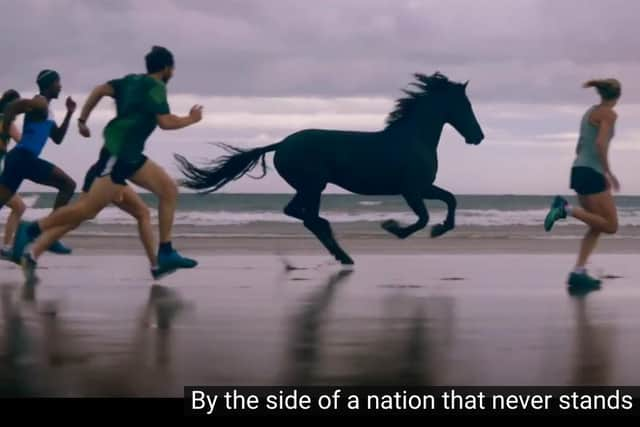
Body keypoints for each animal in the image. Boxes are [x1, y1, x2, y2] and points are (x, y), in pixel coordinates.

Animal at [175, 72, 484, 266]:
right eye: (465, 104)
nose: (478, 136)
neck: (412, 138)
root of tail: (281, 144)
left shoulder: (422, 188)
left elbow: (450, 200)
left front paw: (439, 229)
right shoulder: (411, 189)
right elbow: (422, 217)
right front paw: (394, 227)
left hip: (310, 187)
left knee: (301, 214)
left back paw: (340, 251)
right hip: (313, 185)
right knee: (304, 215)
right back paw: (341, 251)